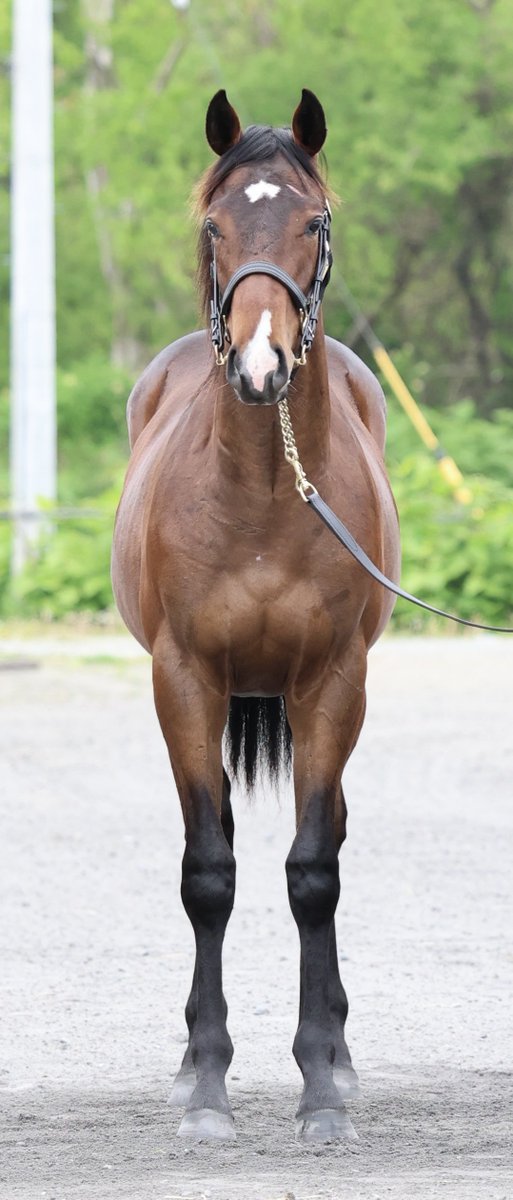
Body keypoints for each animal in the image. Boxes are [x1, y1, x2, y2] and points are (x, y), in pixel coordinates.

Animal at [111, 87, 401, 1145]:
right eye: (214, 225)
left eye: (314, 222)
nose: (262, 365)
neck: (268, 495)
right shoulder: (184, 681)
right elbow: (209, 871)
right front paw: (204, 1084)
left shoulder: (333, 685)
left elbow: (313, 870)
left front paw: (320, 1086)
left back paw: (344, 1060)